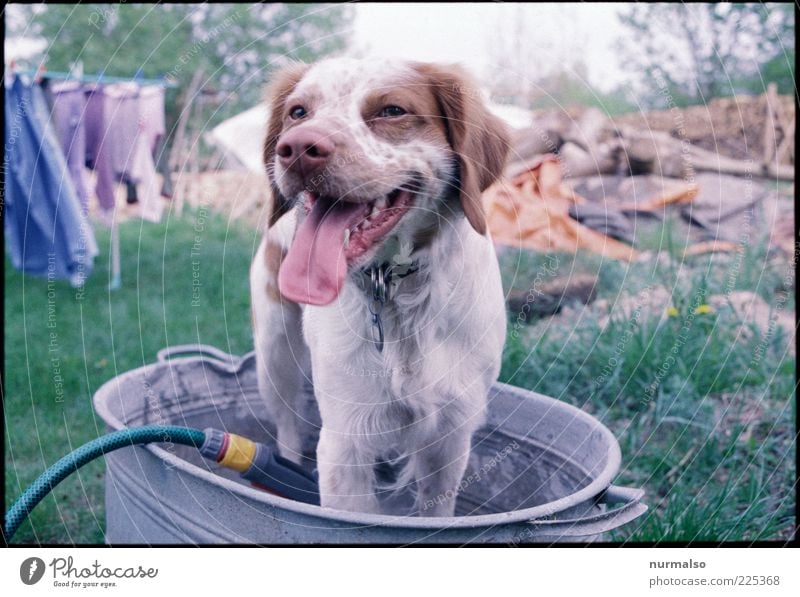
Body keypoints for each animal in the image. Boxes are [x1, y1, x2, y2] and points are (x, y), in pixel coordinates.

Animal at [250, 56, 510, 516]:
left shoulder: (451, 432)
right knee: (287, 424)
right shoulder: (344, 441)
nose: (297, 149)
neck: (397, 291)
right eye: (298, 112)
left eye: (392, 111)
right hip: (274, 355)